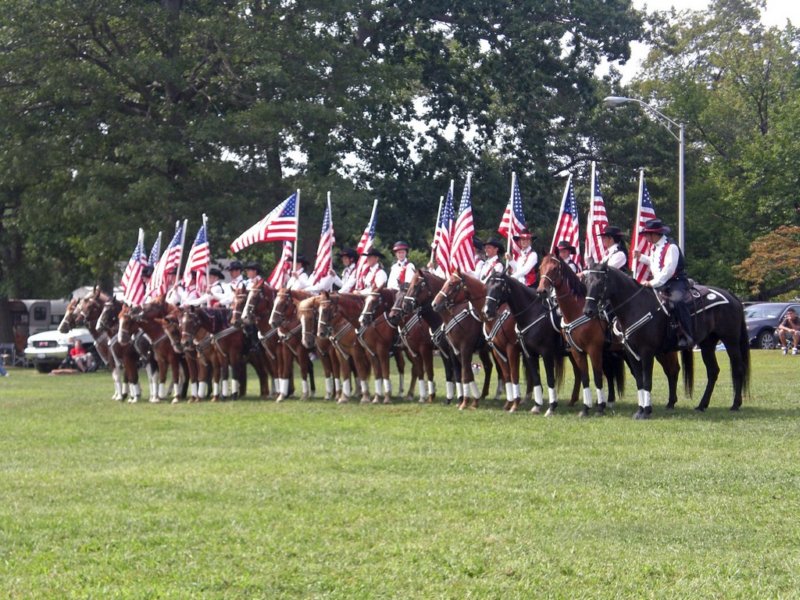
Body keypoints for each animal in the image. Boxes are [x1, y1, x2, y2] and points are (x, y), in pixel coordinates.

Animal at [580, 264, 752, 414]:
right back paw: (701, 405)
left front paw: (646, 411)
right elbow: (639, 381)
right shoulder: (631, 353)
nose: (588, 310)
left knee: (738, 369)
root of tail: (732, 296)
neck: (635, 306)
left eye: (600, 282)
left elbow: (646, 380)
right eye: (586, 282)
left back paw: (735, 404)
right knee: (712, 371)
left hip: (730, 341)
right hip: (707, 344)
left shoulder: (646, 352)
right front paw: (640, 409)